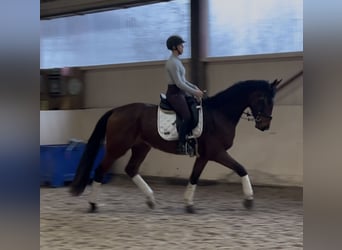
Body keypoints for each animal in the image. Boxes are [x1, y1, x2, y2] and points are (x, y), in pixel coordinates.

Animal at [69, 79, 280, 212]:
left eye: (273, 101)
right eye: (263, 100)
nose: (265, 125)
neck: (220, 114)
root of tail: (116, 111)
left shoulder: (204, 155)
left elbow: (194, 177)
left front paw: (188, 204)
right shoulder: (216, 152)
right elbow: (241, 169)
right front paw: (249, 200)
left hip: (141, 147)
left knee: (131, 169)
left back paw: (151, 199)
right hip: (117, 148)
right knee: (100, 170)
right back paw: (93, 205)